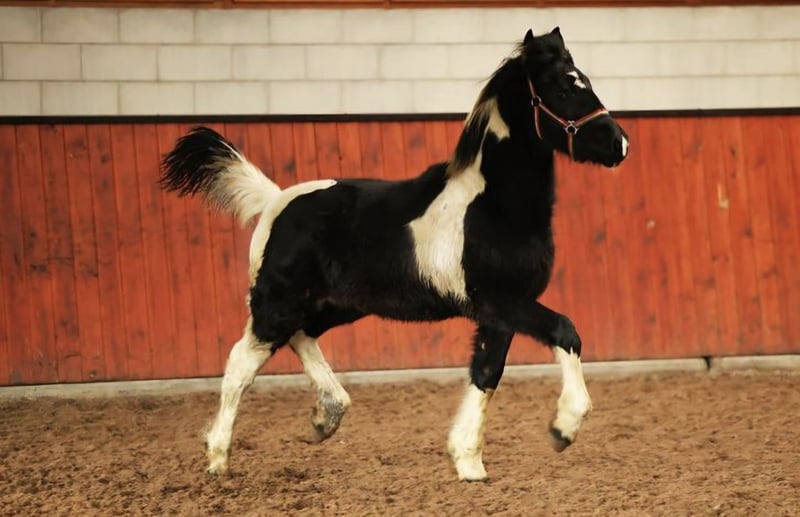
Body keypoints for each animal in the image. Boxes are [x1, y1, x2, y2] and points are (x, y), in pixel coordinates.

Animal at [160, 27, 628, 482]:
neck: (493, 207)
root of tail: (275, 200)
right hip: (278, 302)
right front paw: (563, 427)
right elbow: (565, 331)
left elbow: (486, 374)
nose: (619, 144)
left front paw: (468, 462)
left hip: (338, 304)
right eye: (564, 87)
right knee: (242, 363)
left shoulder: (498, 314)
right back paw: (219, 459)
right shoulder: (501, 301)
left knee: (302, 336)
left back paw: (326, 417)